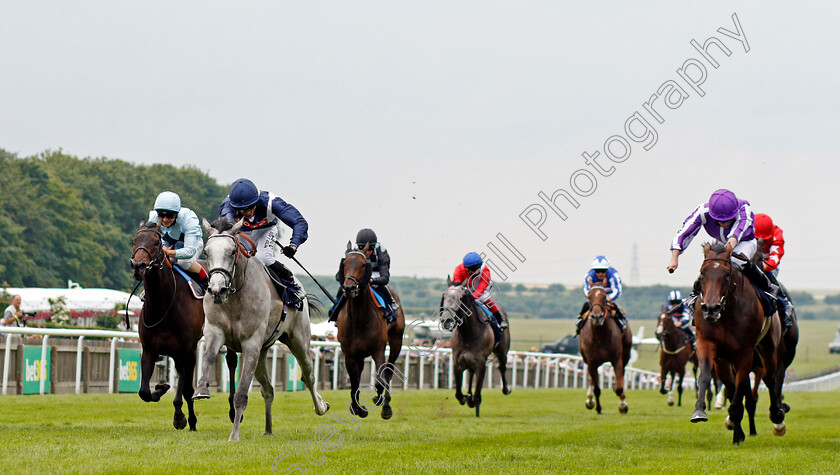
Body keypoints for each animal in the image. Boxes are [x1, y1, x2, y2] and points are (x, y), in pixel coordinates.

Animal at [130, 221, 205, 434]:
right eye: (134, 240)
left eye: (156, 242)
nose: (138, 266)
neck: (162, 306)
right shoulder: (150, 349)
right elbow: (144, 391)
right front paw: (161, 387)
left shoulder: (187, 350)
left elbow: (184, 389)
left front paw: (180, 418)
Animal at [195, 217, 330, 442]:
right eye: (206, 252)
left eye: (232, 251)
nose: (216, 290)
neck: (235, 296)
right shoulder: (215, 332)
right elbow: (208, 358)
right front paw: (201, 389)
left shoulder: (251, 343)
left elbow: (241, 393)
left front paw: (234, 435)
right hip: (263, 352)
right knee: (268, 389)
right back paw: (268, 429)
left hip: (298, 340)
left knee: (308, 376)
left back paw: (320, 406)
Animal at [334, 244, 406, 418]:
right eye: (344, 263)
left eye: (362, 264)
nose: (349, 288)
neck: (359, 320)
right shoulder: (349, 354)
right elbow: (354, 382)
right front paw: (357, 408)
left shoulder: (378, 349)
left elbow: (380, 379)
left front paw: (378, 400)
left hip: (396, 341)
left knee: (389, 370)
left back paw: (385, 405)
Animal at [440, 278, 512, 418]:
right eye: (444, 296)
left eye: (460, 298)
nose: (446, 320)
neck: (468, 333)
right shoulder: (458, 363)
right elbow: (458, 393)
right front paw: (466, 397)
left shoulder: (480, 364)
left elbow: (478, 392)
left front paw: (474, 401)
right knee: (471, 372)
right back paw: (468, 394)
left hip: (502, 350)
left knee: (502, 366)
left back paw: (506, 389)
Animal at [688, 244, 788, 444]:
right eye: (702, 273)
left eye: (727, 274)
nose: (711, 309)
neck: (727, 313)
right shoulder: (709, 346)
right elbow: (708, 378)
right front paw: (700, 411)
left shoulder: (745, 352)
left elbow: (740, 389)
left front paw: (736, 434)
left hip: (768, 349)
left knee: (771, 379)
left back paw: (777, 417)